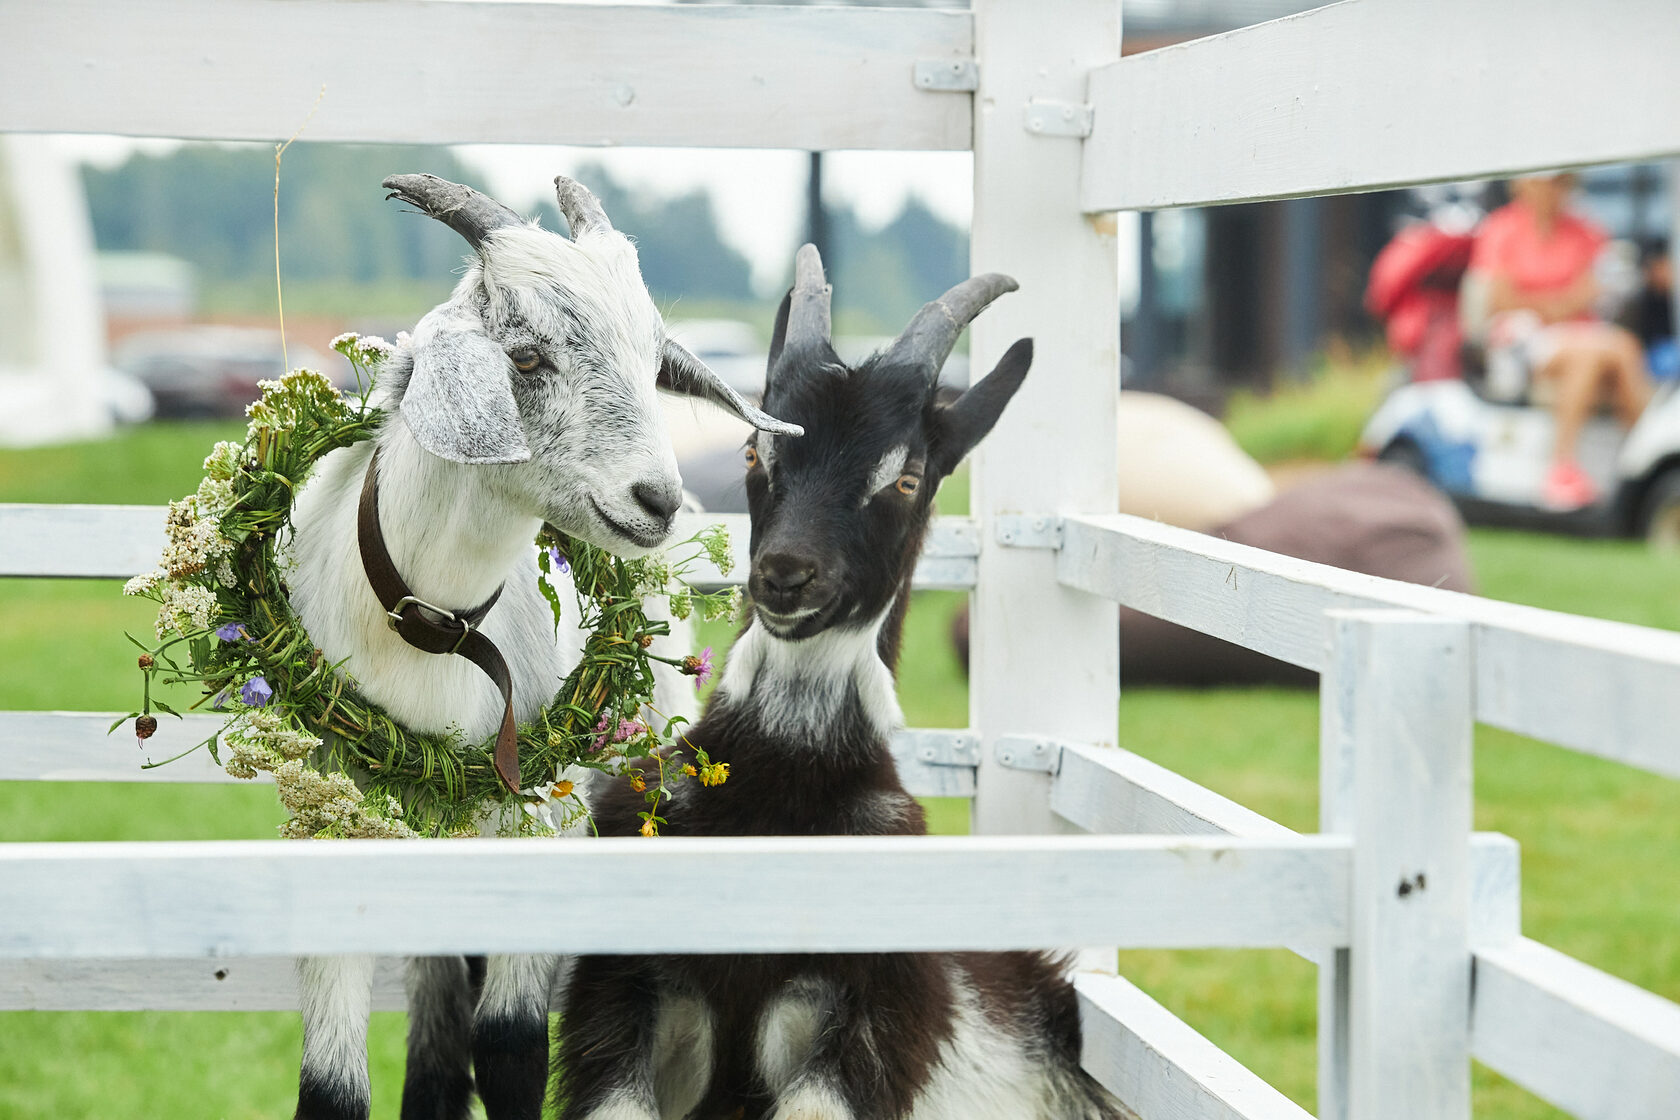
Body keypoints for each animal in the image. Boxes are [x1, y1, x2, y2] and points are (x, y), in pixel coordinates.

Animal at [278, 175, 796, 1120]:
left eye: (655, 363)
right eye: (524, 358)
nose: (657, 499)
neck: (437, 627)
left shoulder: (541, 817)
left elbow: (512, 1044)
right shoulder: (329, 820)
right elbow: (330, 1086)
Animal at [554, 246, 1128, 1120]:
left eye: (907, 477)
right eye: (755, 453)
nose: (785, 575)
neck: (782, 782)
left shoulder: (868, 1017)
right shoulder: (622, 993)